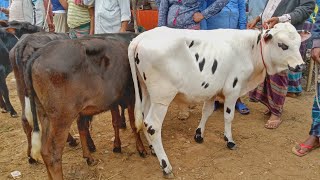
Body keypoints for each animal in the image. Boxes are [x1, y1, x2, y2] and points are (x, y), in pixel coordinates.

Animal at [24, 37, 147, 179]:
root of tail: (41, 52)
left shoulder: (113, 100)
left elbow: (115, 122)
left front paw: (117, 146)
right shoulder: (131, 95)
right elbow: (134, 124)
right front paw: (141, 149)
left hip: (44, 115)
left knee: (44, 149)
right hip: (62, 117)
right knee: (52, 152)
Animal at [129, 22, 308, 177]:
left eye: (299, 43)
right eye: (282, 45)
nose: (301, 65)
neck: (250, 49)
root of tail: (140, 38)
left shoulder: (212, 90)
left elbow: (206, 112)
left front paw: (199, 135)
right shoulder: (232, 90)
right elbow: (228, 117)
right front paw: (229, 140)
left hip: (147, 92)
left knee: (144, 120)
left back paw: (153, 150)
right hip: (162, 97)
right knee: (152, 125)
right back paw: (165, 166)